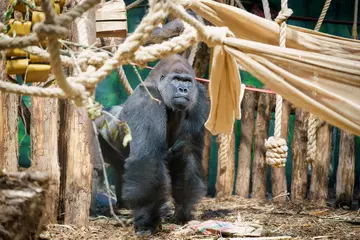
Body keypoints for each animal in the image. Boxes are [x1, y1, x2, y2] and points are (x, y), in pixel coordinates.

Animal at [93, 53, 210, 235]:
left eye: (187, 81)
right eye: (176, 80)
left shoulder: (199, 97)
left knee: (121, 169)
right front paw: (147, 221)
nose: (183, 90)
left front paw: (183, 209)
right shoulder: (147, 98)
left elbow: (187, 150)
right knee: (96, 169)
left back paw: (123, 206)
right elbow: (147, 157)